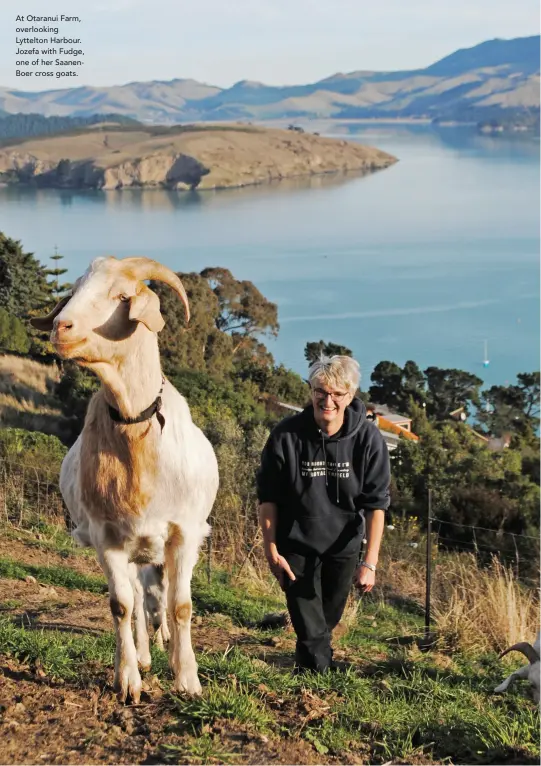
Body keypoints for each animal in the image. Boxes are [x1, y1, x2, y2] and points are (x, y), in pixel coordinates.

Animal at [29, 256, 218, 704]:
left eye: (121, 296)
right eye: (74, 290)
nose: (61, 327)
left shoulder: (185, 533)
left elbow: (181, 606)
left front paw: (188, 680)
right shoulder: (106, 536)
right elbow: (121, 606)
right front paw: (128, 680)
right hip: (132, 550)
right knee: (136, 604)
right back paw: (145, 658)